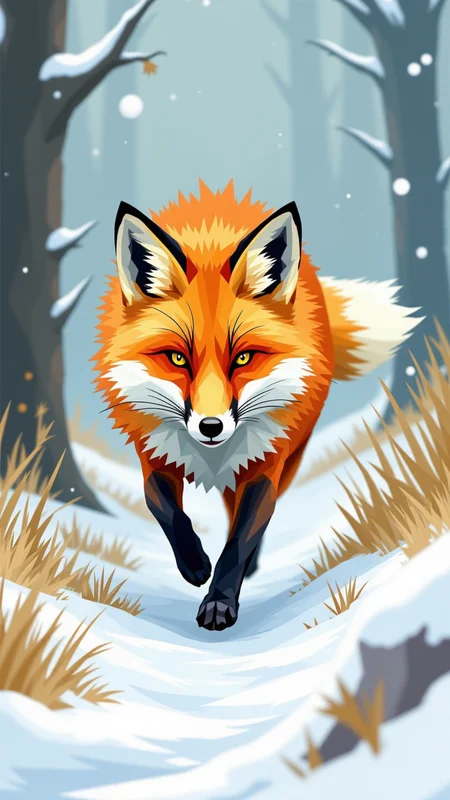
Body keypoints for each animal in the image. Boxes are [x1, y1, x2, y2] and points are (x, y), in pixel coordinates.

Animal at [94, 180, 420, 631]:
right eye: (177, 358)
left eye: (244, 358)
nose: (211, 427)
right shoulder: (154, 454)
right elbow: (166, 511)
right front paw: (195, 563)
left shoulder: (264, 465)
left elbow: (239, 540)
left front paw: (219, 601)